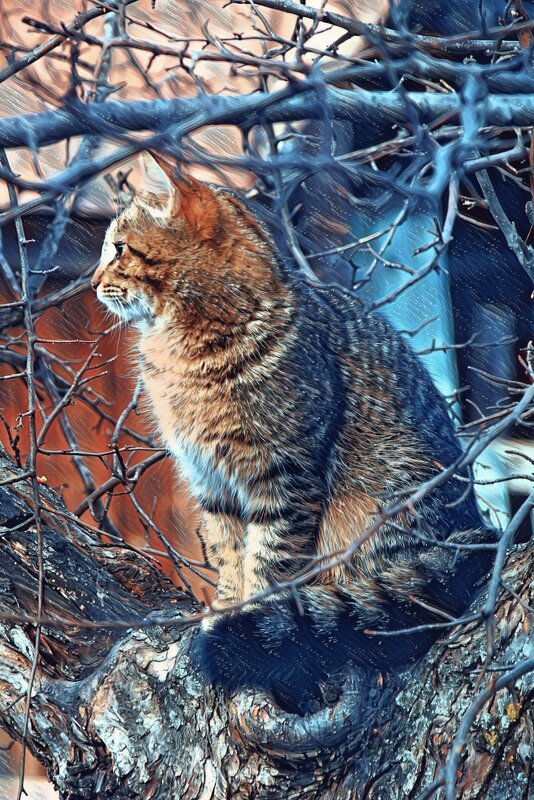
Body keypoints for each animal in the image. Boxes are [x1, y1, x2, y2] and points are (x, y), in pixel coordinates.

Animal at [93, 153, 498, 716]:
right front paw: (226, 606)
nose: (92, 282)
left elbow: (268, 564)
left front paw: (254, 618)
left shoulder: (284, 475)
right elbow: (229, 554)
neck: (186, 354)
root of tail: (475, 531)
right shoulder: (211, 480)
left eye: (119, 248)